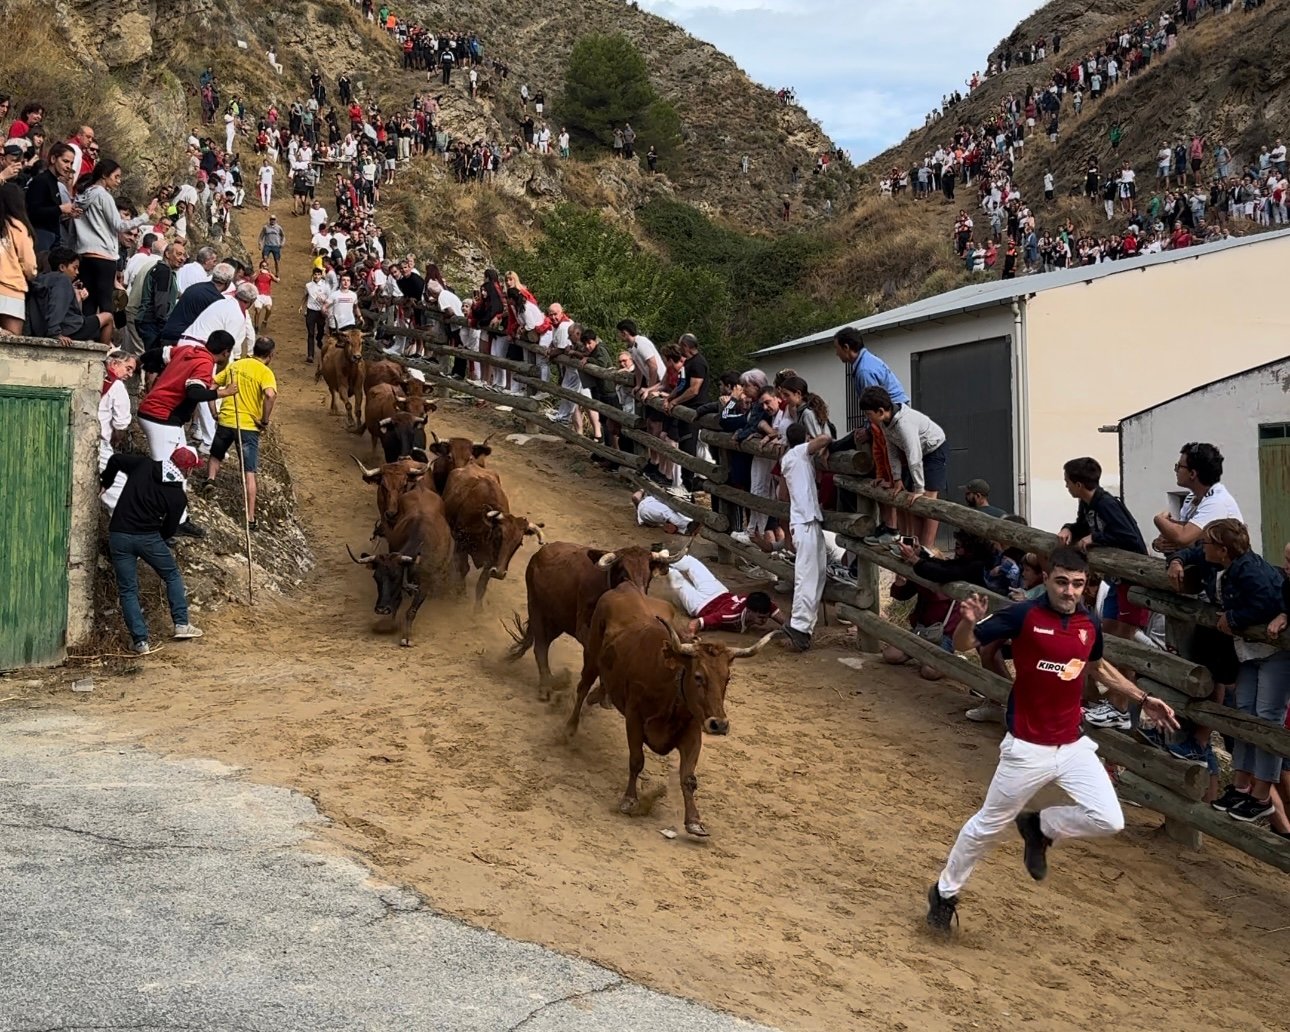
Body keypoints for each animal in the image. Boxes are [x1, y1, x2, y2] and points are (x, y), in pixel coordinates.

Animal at [348, 490, 459, 645]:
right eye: (376, 577)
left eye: (396, 576)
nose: (381, 609)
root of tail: (422, 490)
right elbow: (397, 601)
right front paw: (388, 624)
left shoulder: (425, 584)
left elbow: (411, 611)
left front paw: (406, 636)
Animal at [443, 464, 544, 608]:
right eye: (498, 537)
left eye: (519, 544)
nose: (500, 573)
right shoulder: (461, 544)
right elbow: (463, 568)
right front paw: (460, 593)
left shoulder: (492, 560)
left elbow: (482, 582)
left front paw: (478, 609)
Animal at [567, 580, 768, 835]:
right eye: (698, 676)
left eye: (728, 678)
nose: (719, 724)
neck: (670, 685)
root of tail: (625, 587)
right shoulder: (634, 718)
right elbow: (636, 760)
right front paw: (630, 800)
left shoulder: (692, 731)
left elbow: (688, 777)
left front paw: (694, 821)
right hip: (591, 655)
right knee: (582, 688)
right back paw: (570, 728)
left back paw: (599, 698)